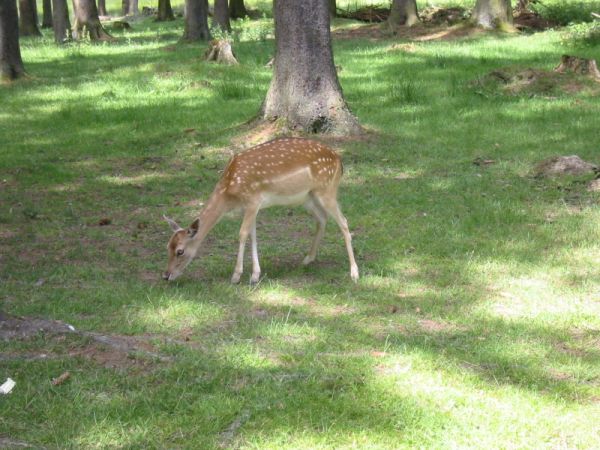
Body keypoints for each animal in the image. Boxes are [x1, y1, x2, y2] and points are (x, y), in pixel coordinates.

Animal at [162, 137, 359, 284]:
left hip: (327, 190)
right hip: (308, 198)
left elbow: (242, 234)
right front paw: (255, 275)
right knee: (322, 218)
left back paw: (354, 273)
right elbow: (253, 235)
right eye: (167, 246)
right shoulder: (251, 207)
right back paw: (308, 258)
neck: (229, 193)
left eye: (180, 251)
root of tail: (339, 161)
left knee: (344, 222)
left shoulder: (252, 200)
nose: (166, 275)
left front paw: (236, 276)